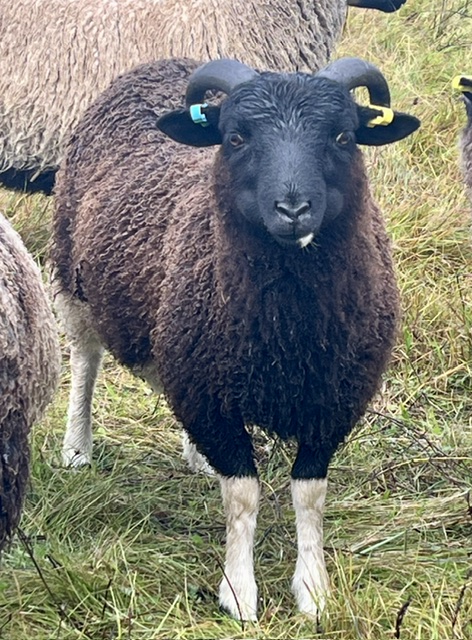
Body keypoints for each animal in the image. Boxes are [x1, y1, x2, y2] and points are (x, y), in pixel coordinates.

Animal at [50, 55, 420, 619]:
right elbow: (243, 495)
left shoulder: (332, 403)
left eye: (342, 136)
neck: (288, 333)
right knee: (84, 360)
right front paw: (241, 593)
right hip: (74, 272)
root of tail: (160, 63)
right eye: (237, 137)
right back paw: (77, 448)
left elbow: (309, 495)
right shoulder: (212, 399)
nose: (293, 209)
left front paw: (313, 591)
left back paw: (195, 457)